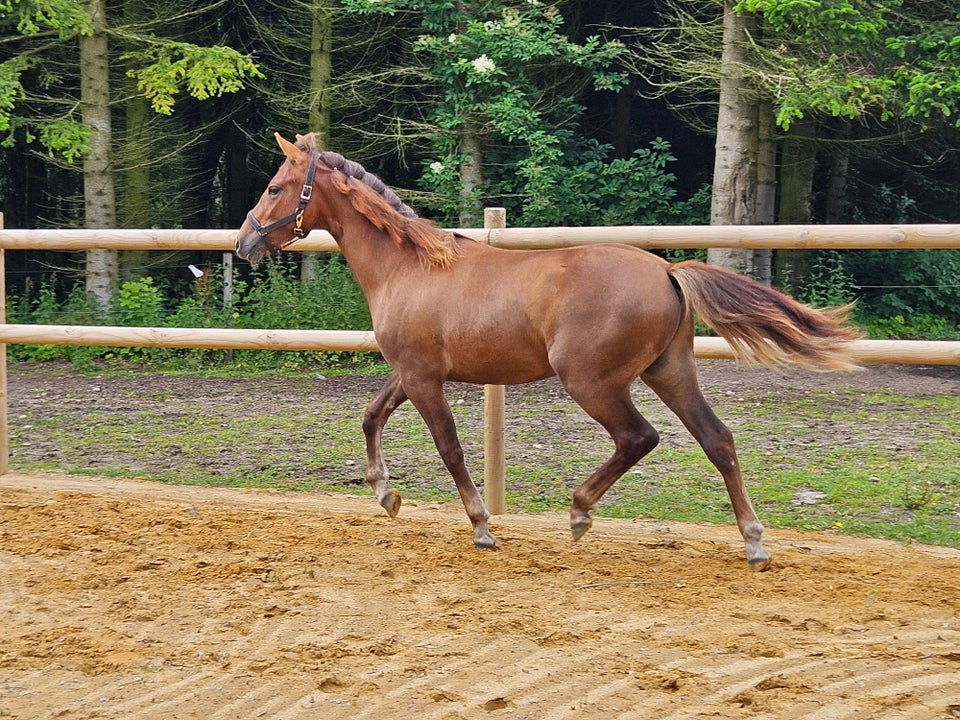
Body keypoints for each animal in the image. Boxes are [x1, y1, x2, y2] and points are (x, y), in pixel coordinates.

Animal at [234, 132, 864, 572]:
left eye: (273, 187)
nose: (243, 243)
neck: (410, 267)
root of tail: (666, 271)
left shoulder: (422, 377)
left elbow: (451, 450)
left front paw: (481, 527)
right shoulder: (411, 372)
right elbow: (371, 417)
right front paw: (386, 495)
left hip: (591, 380)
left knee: (640, 437)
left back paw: (580, 511)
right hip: (670, 372)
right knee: (719, 440)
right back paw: (754, 544)